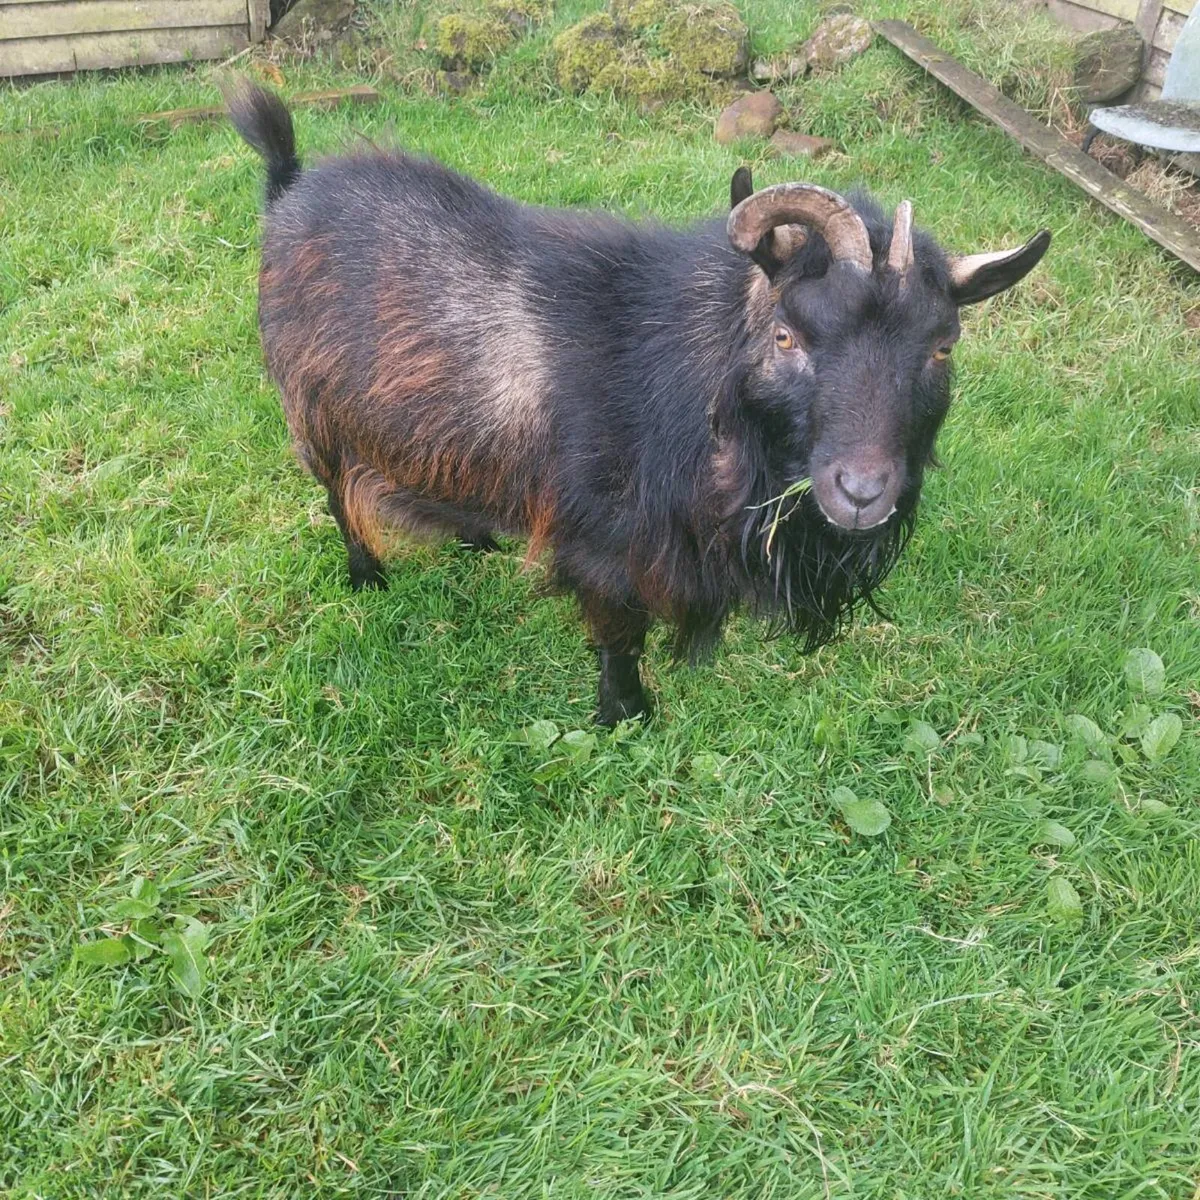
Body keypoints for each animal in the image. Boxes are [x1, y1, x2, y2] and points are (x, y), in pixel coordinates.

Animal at [227, 83, 1050, 724]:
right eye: (787, 334)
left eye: (942, 348)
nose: (861, 491)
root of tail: (289, 185)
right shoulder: (601, 543)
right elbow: (619, 636)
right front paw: (626, 714)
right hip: (311, 411)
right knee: (337, 495)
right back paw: (367, 574)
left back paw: (476, 537)